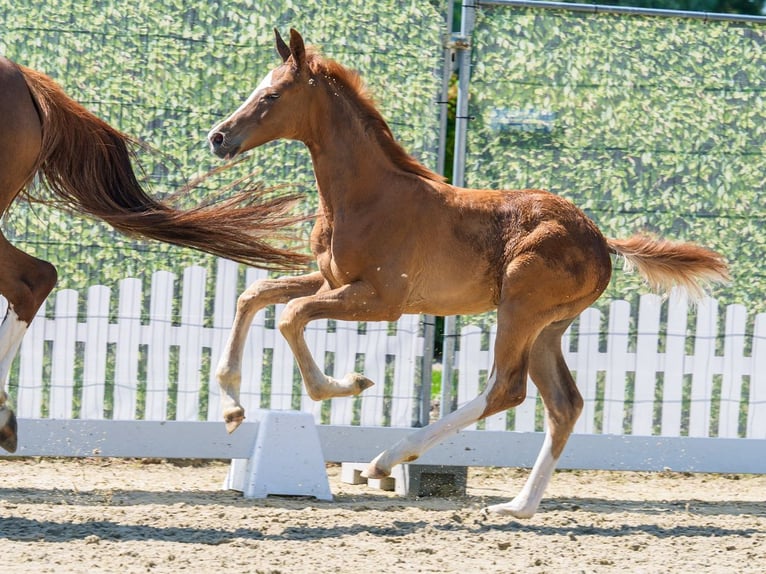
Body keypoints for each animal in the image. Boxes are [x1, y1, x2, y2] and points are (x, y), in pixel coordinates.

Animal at [207, 29, 729, 519]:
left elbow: (291, 315)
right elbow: (256, 294)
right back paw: (518, 506)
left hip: (520, 306)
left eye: (272, 96)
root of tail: (600, 240)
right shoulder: (334, 282)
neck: (367, 197)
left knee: (506, 388)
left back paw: (386, 460)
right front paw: (232, 408)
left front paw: (348, 384)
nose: (218, 137)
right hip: (549, 326)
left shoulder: (382, 300)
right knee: (564, 404)